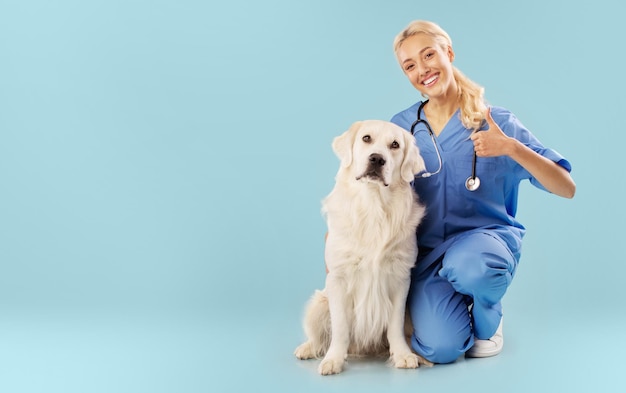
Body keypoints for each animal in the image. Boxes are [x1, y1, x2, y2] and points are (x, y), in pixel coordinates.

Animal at [292, 119, 428, 374]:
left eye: (395, 145)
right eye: (366, 138)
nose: (377, 159)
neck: (373, 204)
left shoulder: (400, 278)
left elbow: (394, 325)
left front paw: (403, 355)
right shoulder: (337, 278)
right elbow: (340, 328)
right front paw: (334, 359)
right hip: (319, 303)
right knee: (318, 337)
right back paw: (307, 348)